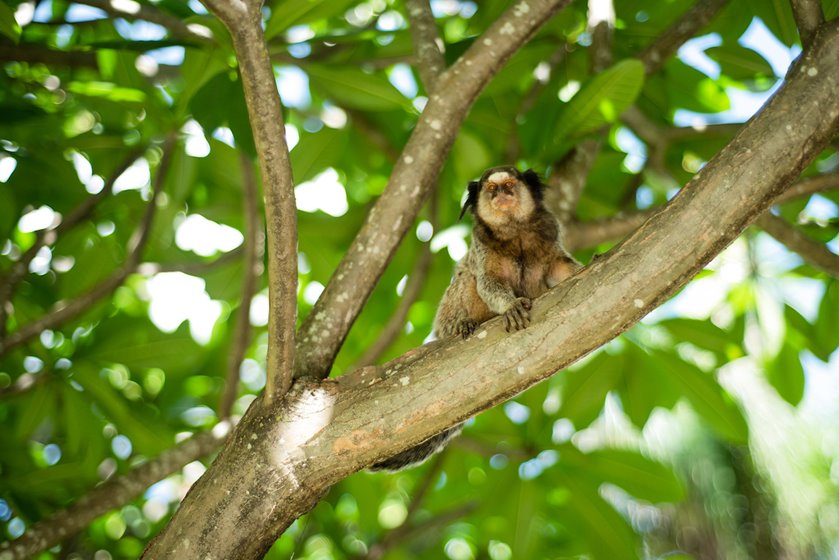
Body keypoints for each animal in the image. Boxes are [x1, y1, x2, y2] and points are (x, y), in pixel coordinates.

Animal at [370, 166, 580, 472]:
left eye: (509, 185)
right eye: (491, 189)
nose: (501, 194)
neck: (515, 231)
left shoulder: (550, 236)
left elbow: (562, 268)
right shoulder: (482, 248)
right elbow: (486, 281)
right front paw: (510, 306)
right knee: (466, 277)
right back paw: (464, 324)